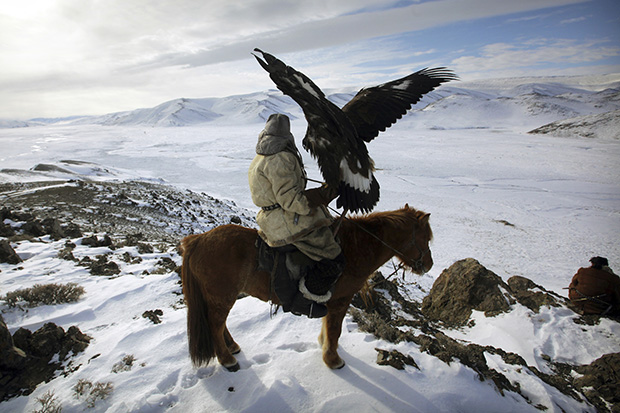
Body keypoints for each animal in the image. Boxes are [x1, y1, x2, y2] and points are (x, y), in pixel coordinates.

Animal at [179, 204, 432, 368]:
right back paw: (227, 359)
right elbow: (335, 329)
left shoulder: (331, 301)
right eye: (426, 238)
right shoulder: (341, 300)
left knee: (220, 324)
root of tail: (197, 240)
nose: (428, 265)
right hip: (222, 296)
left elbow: (327, 325)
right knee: (215, 324)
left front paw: (323, 344)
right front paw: (333, 359)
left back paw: (232, 347)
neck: (356, 247)